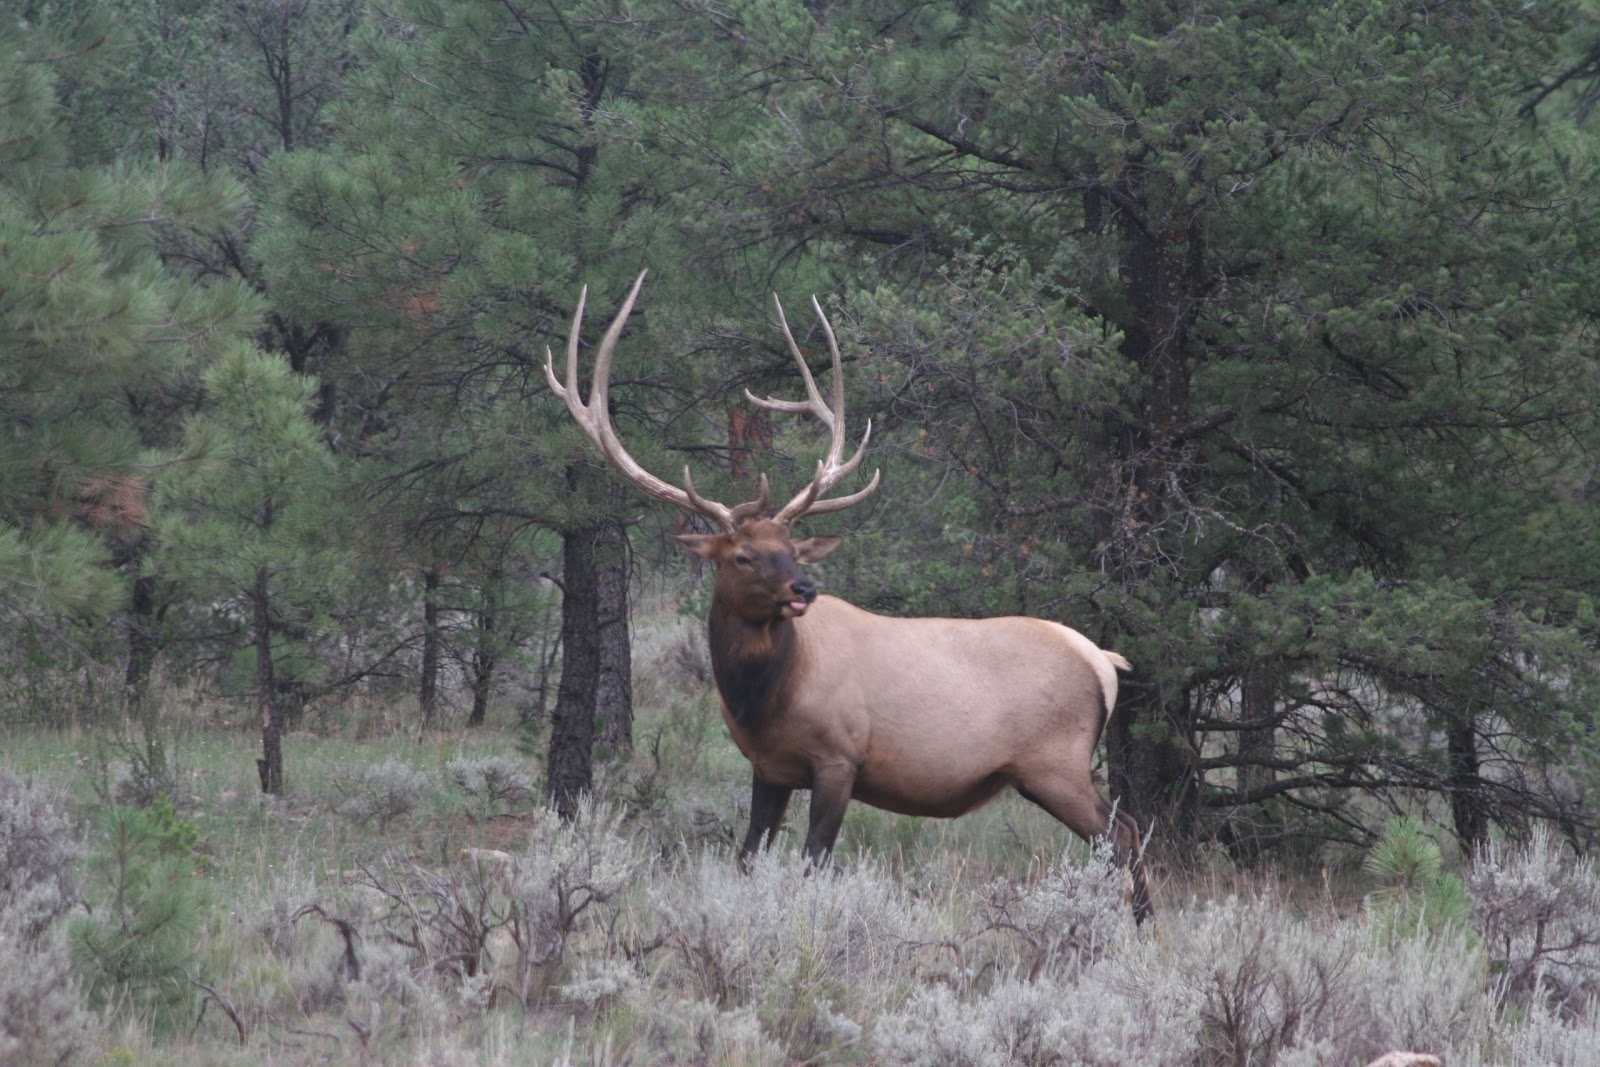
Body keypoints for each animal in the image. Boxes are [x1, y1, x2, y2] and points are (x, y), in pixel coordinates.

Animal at [546, 272, 1152, 923]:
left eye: (792, 545)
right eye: (742, 555)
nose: (804, 587)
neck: (762, 696)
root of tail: (1104, 660)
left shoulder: (839, 759)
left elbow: (813, 863)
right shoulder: (769, 767)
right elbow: (747, 860)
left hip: (1055, 761)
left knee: (1121, 835)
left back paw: (1135, 926)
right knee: (1129, 830)